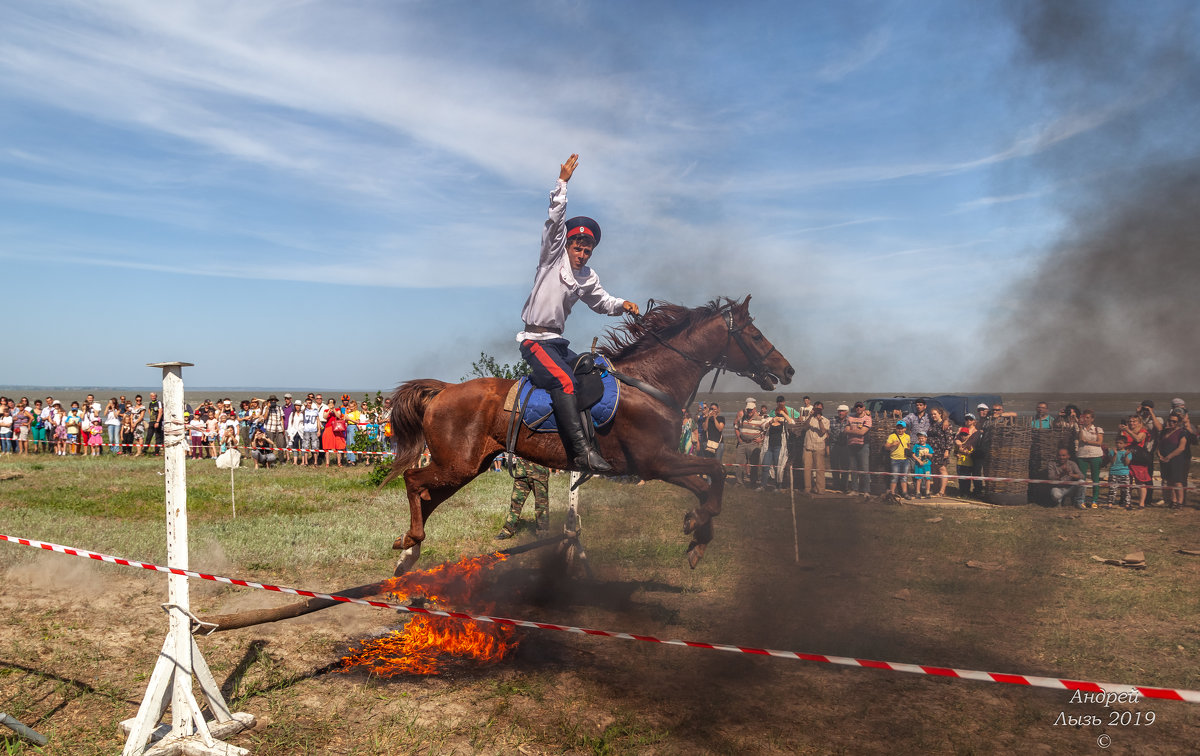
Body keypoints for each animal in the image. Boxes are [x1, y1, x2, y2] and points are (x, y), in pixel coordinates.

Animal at [386, 296, 796, 568]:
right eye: (755, 335)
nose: (787, 370)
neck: (650, 383)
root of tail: (443, 390)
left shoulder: (658, 464)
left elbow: (708, 480)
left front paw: (698, 533)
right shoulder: (657, 462)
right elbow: (716, 472)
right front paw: (699, 525)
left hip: (465, 467)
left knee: (427, 496)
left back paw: (409, 548)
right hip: (457, 465)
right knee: (413, 480)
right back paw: (413, 542)